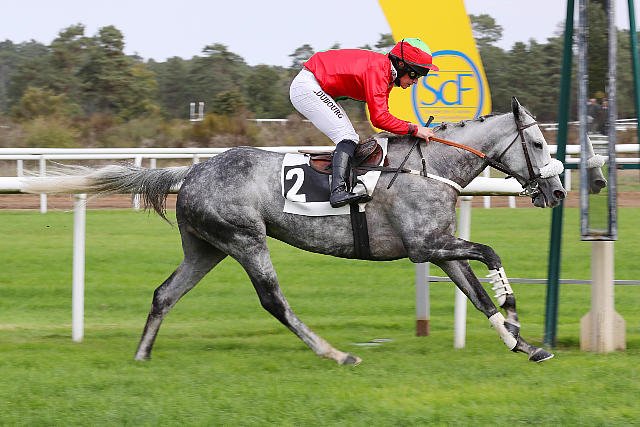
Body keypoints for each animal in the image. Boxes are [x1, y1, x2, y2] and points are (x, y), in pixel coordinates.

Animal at [25, 97, 596, 365]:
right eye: (539, 145)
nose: (557, 192)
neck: (431, 166)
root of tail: (191, 171)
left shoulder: (438, 248)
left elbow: (476, 293)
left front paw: (524, 344)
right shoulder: (425, 246)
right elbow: (491, 253)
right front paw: (516, 316)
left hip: (206, 248)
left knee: (165, 293)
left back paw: (143, 356)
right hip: (245, 240)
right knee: (274, 301)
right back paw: (335, 353)